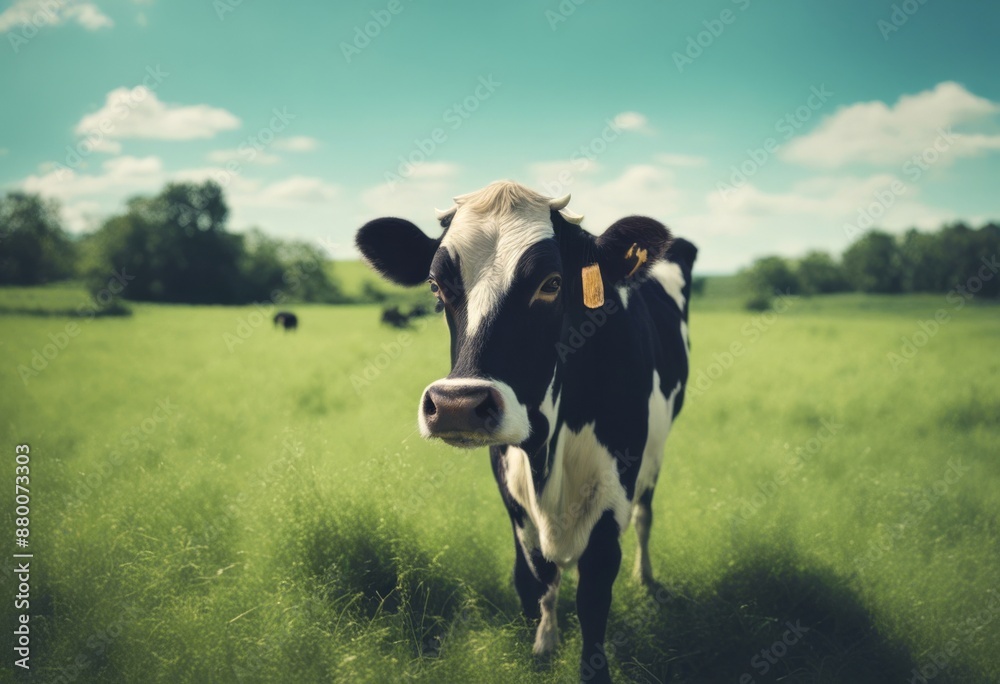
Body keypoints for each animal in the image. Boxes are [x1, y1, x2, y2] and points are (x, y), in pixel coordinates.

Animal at [355, 180, 696, 683]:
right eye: (437, 286)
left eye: (551, 284)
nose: (457, 406)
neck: (546, 453)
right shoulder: (510, 488)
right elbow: (537, 578)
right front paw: (543, 646)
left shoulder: (614, 490)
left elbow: (594, 596)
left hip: (654, 454)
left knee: (645, 517)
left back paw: (648, 580)